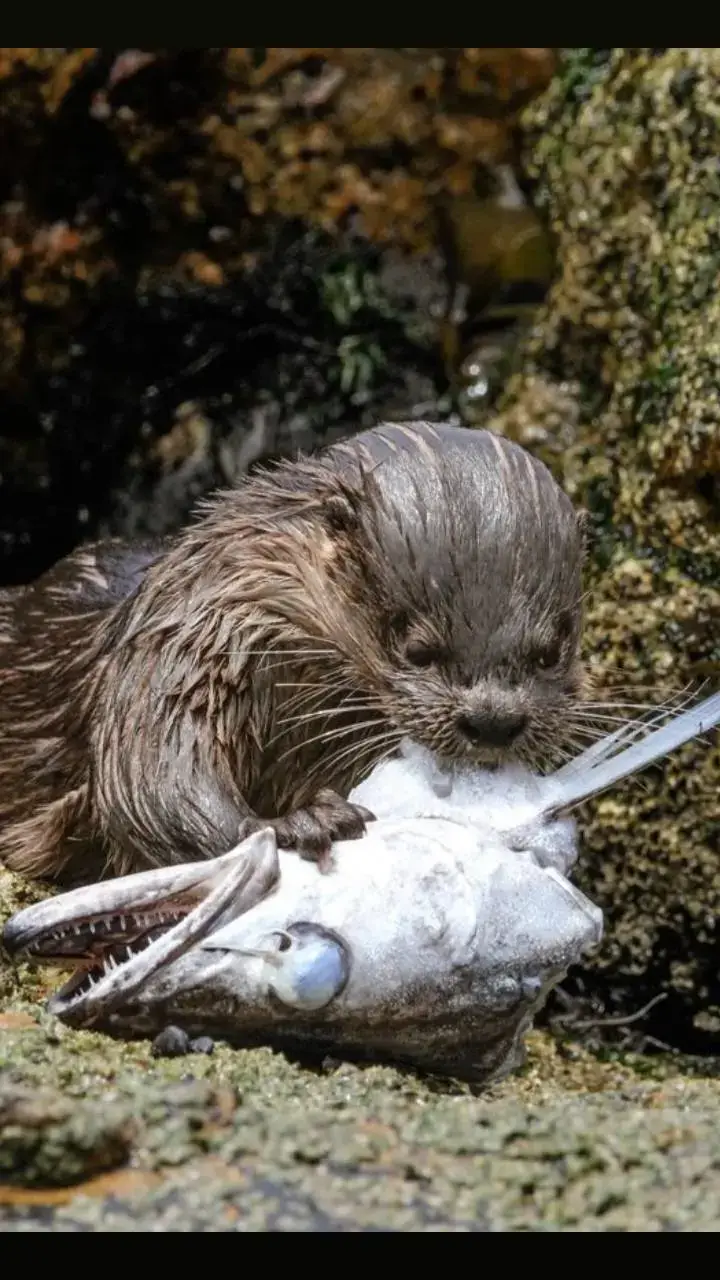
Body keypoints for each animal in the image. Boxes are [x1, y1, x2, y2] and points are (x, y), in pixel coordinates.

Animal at [0, 417, 584, 880]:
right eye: (417, 650)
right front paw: (291, 824)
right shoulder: (182, 646)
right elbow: (146, 776)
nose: (494, 721)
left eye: (551, 652)